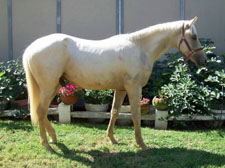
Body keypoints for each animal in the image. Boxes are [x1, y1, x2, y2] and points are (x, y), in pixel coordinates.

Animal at [23, 16, 207, 151]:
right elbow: (135, 114)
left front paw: (112, 139)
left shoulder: (121, 89)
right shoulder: (134, 88)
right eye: (194, 37)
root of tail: (32, 48)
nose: (203, 61)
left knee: (42, 112)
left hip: (54, 86)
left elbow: (115, 112)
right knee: (40, 111)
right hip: (48, 87)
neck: (140, 47)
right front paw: (141, 144)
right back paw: (46, 144)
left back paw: (53, 138)